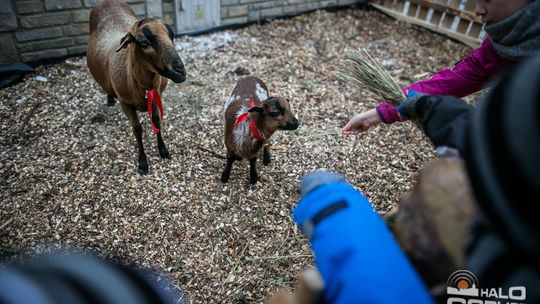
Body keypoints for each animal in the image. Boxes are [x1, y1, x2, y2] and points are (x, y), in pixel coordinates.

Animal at [85, 0, 185, 175]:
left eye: (171, 35)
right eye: (143, 42)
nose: (181, 71)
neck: (142, 85)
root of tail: (106, 2)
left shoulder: (156, 96)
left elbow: (156, 121)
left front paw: (163, 150)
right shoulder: (126, 104)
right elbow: (137, 129)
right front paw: (143, 162)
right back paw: (110, 99)